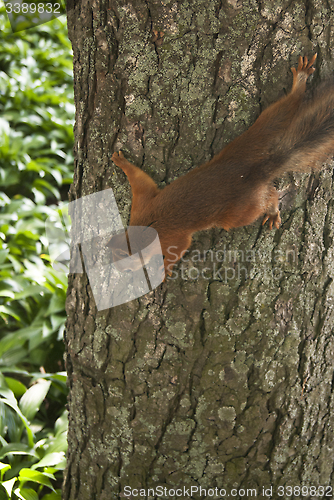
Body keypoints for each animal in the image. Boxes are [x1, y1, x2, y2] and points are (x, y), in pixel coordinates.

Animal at [109, 56, 334, 280]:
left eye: (127, 267)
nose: (118, 273)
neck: (143, 229)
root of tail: (254, 172)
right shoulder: (142, 204)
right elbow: (141, 180)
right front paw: (122, 162)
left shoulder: (168, 237)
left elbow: (180, 246)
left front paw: (164, 269)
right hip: (251, 139)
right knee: (281, 112)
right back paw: (300, 83)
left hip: (240, 212)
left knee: (268, 197)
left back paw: (272, 210)